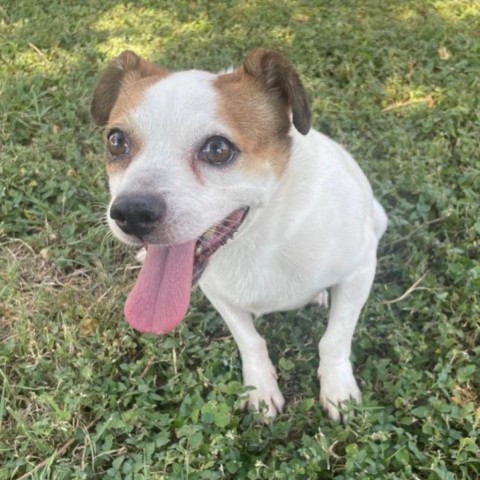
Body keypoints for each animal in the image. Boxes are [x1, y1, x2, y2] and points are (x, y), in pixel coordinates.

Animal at [92, 48, 388, 420]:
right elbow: (250, 340)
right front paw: (260, 387)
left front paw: (338, 389)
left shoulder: (360, 271)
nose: (131, 214)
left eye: (218, 149)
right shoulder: (220, 294)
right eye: (116, 141)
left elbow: (335, 339)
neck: (260, 240)